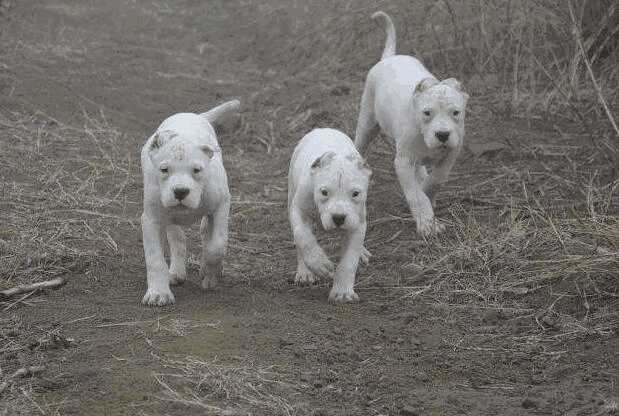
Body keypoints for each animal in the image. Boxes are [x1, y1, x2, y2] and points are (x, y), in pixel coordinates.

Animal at [139, 98, 239, 306]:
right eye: (164, 170)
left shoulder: (221, 205)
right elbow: (155, 259)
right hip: (168, 216)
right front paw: (158, 293)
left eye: (196, 170)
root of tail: (193, 115)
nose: (180, 191)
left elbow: (217, 245)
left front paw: (208, 272)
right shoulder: (151, 220)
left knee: (205, 232)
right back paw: (176, 271)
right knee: (177, 237)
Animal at [286, 127, 370, 302]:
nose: (338, 217)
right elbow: (304, 238)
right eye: (324, 192)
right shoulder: (299, 211)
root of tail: (324, 129)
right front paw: (319, 264)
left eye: (356, 194)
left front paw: (343, 292)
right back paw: (305, 272)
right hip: (291, 194)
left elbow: (349, 261)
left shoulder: (357, 225)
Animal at [354, 11, 470, 236]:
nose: (442, 135)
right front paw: (426, 223)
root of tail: (389, 58)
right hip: (367, 123)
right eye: (427, 113)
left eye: (456, 113)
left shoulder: (451, 154)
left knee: (422, 170)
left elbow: (436, 180)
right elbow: (416, 195)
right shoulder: (403, 162)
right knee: (359, 144)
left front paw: (428, 193)